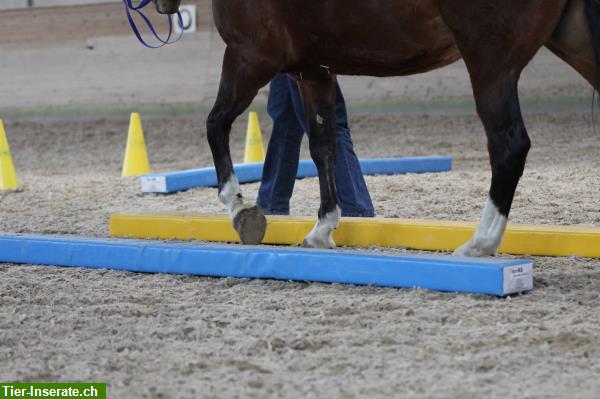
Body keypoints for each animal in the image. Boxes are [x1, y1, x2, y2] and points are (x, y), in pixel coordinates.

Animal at [151, 0, 600, 256]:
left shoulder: (249, 56)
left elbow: (215, 124)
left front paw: (241, 210)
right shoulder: (314, 73)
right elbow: (323, 147)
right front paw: (322, 229)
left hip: (490, 62)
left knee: (508, 145)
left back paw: (481, 242)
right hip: (573, 42)